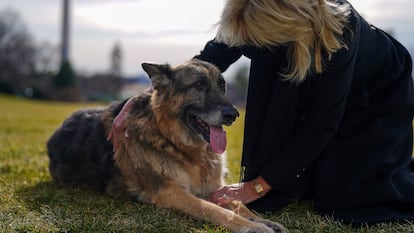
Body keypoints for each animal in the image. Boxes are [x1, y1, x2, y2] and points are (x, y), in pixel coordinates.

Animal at [47, 59, 284, 232]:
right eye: (198, 85)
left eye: (222, 86)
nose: (233, 115)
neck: (176, 143)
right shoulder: (171, 192)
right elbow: (214, 210)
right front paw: (251, 227)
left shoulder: (214, 188)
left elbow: (239, 204)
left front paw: (261, 220)